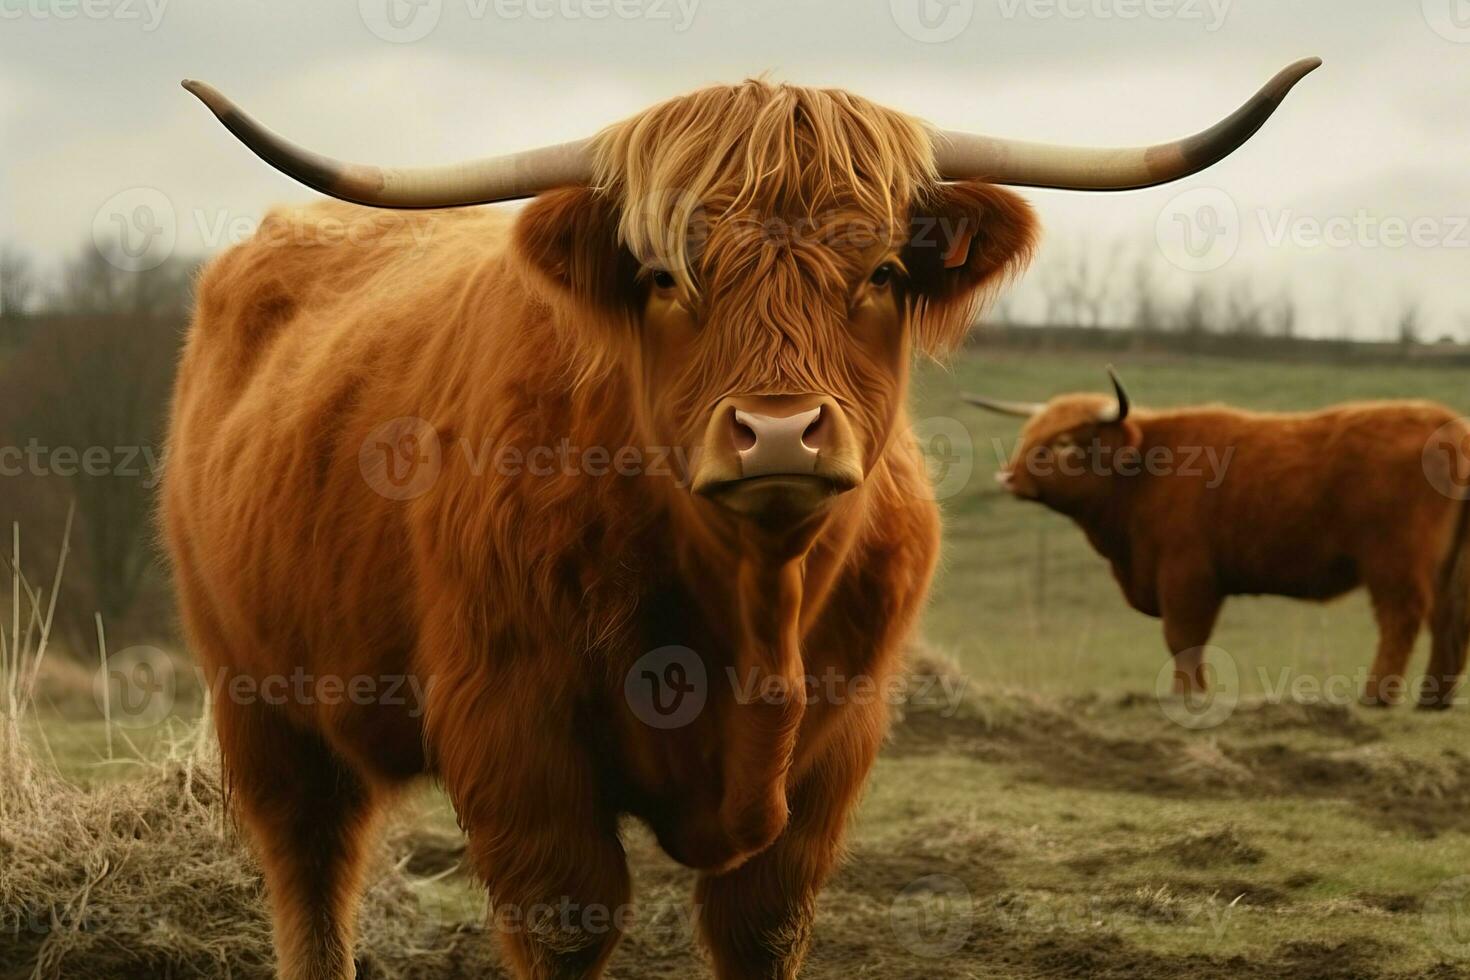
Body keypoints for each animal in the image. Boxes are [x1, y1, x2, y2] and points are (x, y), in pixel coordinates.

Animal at [166, 63, 1317, 980]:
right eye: (667, 276)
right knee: (311, 865)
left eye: (883, 271)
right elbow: (568, 922)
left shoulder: (836, 748)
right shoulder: (514, 732)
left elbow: (761, 926)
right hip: (259, 695)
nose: (777, 433)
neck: (754, 603)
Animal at [964, 371, 1470, 708]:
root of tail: (1451, 425)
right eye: (1029, 433)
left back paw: (1375, 696)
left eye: (1066, 442)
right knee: (1448, 620)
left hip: (1395, 564)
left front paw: (1187, 695)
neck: (1144, 473)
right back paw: (1433, 699)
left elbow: (1184, 637)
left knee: (1402, 619)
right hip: (1447, 567)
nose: (1007, 477)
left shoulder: (1186, 574)